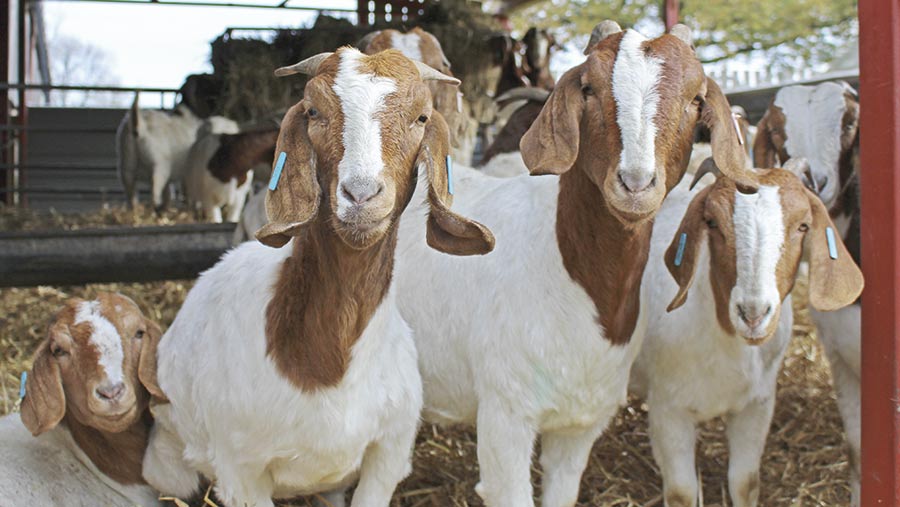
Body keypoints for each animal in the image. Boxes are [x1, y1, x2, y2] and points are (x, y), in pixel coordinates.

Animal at [142, 48, 494, 507]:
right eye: (312, 111)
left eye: (421, 116)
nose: (361, 195)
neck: (325, 364)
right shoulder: (241, 472)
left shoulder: (388, 455)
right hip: (167, 465)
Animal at [630, 162, 863, 507]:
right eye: (712, 222)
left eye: (803, 226)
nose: (753, 313)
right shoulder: (667, 410)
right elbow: (682, 492)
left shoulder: (757, 405)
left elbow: (745, 483)